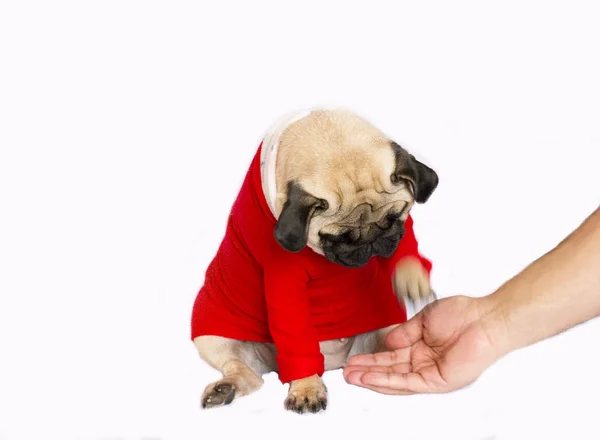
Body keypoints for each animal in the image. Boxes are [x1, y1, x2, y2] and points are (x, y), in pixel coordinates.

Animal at [192, 108, 440, 414]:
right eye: (339, 237)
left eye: (394, 218)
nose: (372, 242)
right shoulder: (284, 285)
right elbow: (297, 341)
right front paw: (306, 387)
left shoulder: (402, 234)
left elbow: (407, 247)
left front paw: (413, 278)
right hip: (212, 337)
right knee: (247, 372)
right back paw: (225, 388)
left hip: (387, 328)